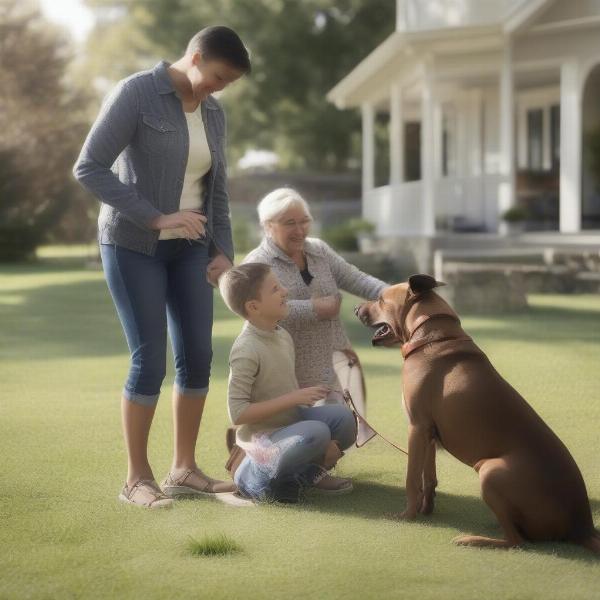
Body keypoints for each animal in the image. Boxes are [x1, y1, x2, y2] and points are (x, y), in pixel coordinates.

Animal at [354, 274, 596, 552]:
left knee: (517, 542)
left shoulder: (417, 427)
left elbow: (412, 479)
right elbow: (429, 477)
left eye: (381, 299)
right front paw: (426, 510)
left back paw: (475, 539)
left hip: (490, 471)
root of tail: (582, 525)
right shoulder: (429, 433)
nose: (355, 308)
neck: (433, 338)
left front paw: (407, 516)